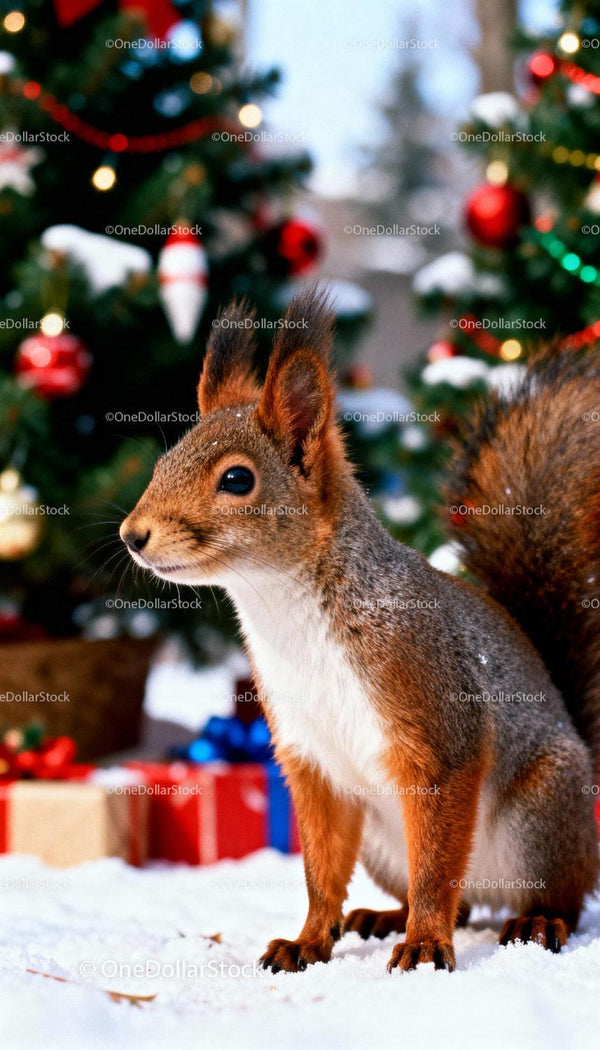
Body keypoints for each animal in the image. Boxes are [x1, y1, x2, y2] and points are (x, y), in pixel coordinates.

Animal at [121, 289, 599, 974]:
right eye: (161, 463)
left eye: (238, 479)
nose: (132, 535)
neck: (283, 611)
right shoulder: (310, 759)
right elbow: (321, 870)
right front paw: (306, 942)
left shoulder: (436, 729)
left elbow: (436, 865)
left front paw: (424, 947)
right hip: (382, 843)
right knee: (454, 901)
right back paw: (384, 916)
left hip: (543, 814)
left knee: (553, 894)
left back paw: (533, 921)